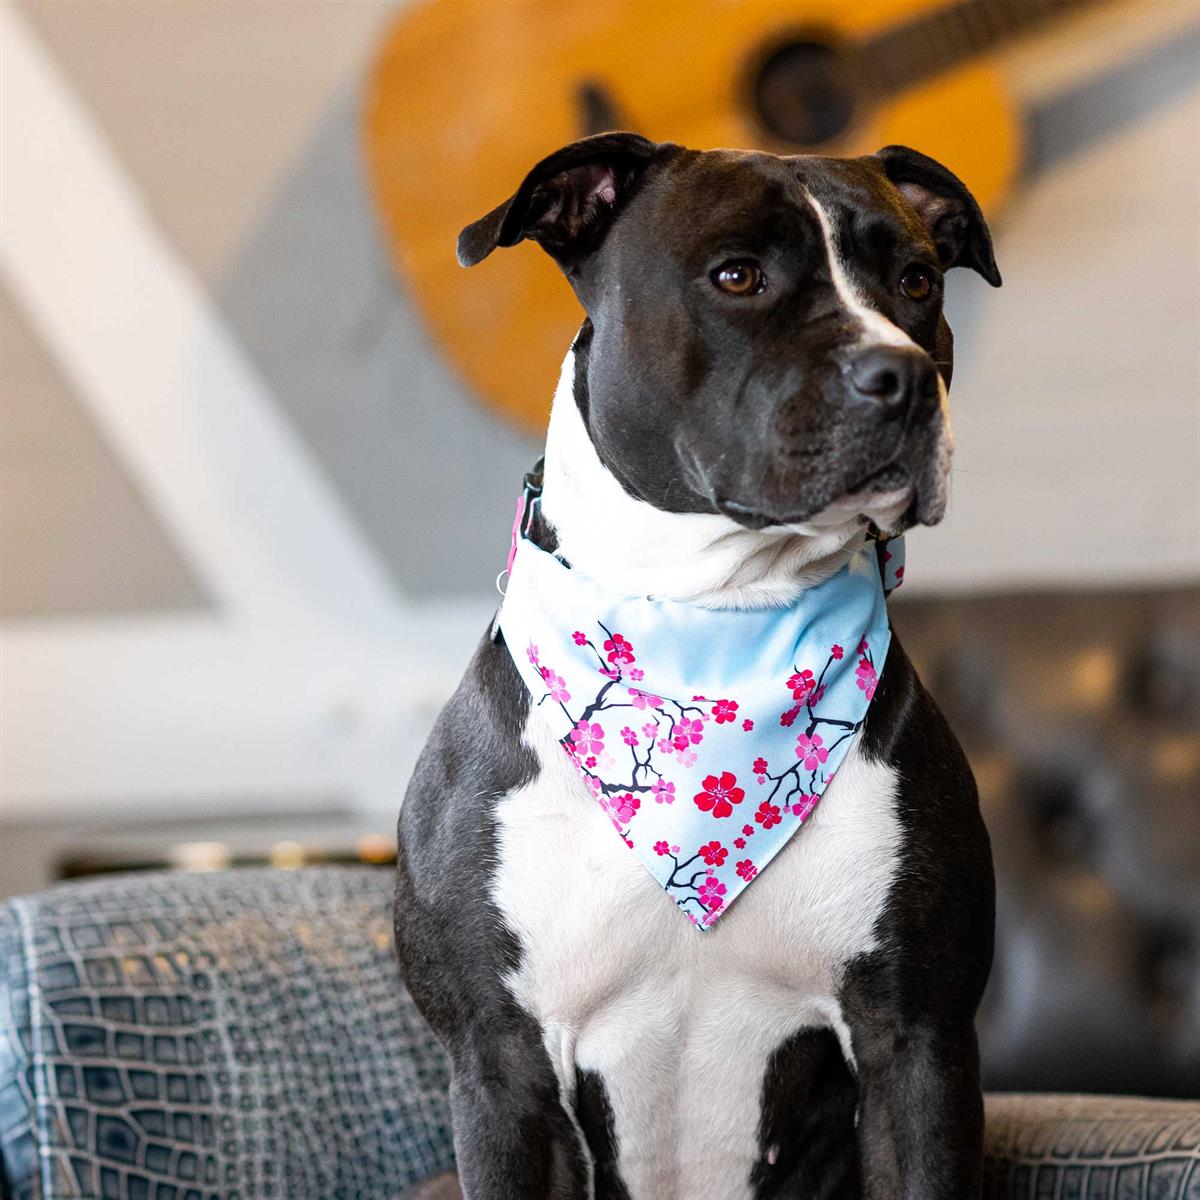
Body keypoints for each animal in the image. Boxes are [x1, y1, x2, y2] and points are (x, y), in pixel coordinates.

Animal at [398, 133, 998, 1200]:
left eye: (918, 280)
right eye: (737, 276)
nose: (902, 372)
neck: (714, 622)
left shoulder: (919, 1040)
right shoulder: (499, 1065)